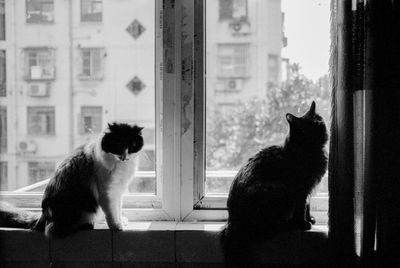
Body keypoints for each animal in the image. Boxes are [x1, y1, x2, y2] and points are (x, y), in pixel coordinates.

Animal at [0, 122, 144, 238]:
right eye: (118, 144)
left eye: (132, 145)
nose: (124, 156)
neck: (121, 165)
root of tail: (43, 216)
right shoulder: (107, 192)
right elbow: (111, 213)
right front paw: (117, 227)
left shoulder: (119, 191)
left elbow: (117, 209)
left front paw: (121, 221)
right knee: (55, 230)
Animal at [222, 101, 328, 266]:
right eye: (308, 128)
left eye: (319, 121)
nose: (320, 129)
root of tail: (232, 221)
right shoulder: (301, 189)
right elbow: (301, 208)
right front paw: (303, 224)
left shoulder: (309, 190)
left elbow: (307, 206)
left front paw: (310, 218)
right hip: (280, 190)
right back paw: (290, 224)